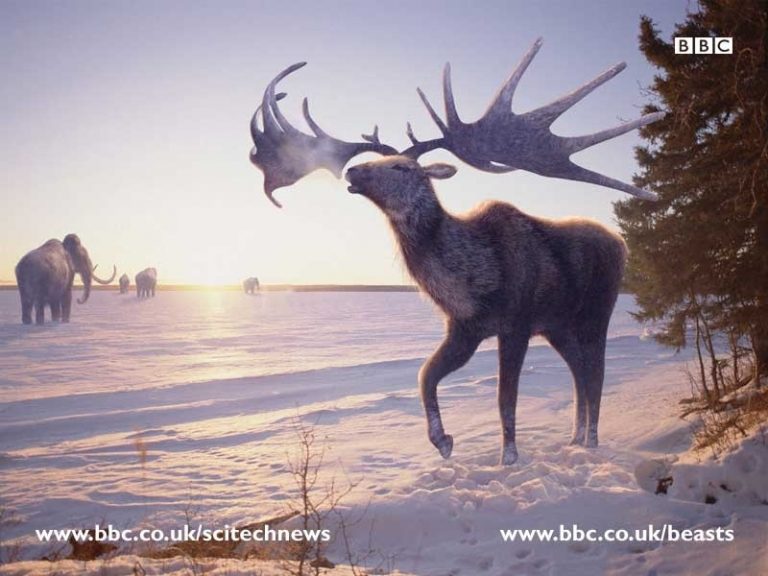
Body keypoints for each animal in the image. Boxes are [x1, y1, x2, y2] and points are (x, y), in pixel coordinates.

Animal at [249, 39, 664, 464]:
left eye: (401, 168)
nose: (354, 171)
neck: (473, 282)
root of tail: (622, 243)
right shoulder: (464, 328)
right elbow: (425, 375)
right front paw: (443, 441)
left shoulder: (516, 322)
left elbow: (505, 398)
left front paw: (508, 459)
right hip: (557, 325)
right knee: (579, 371)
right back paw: (575, 438)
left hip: (596, 310)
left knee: (595, 374)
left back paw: (591, 441)